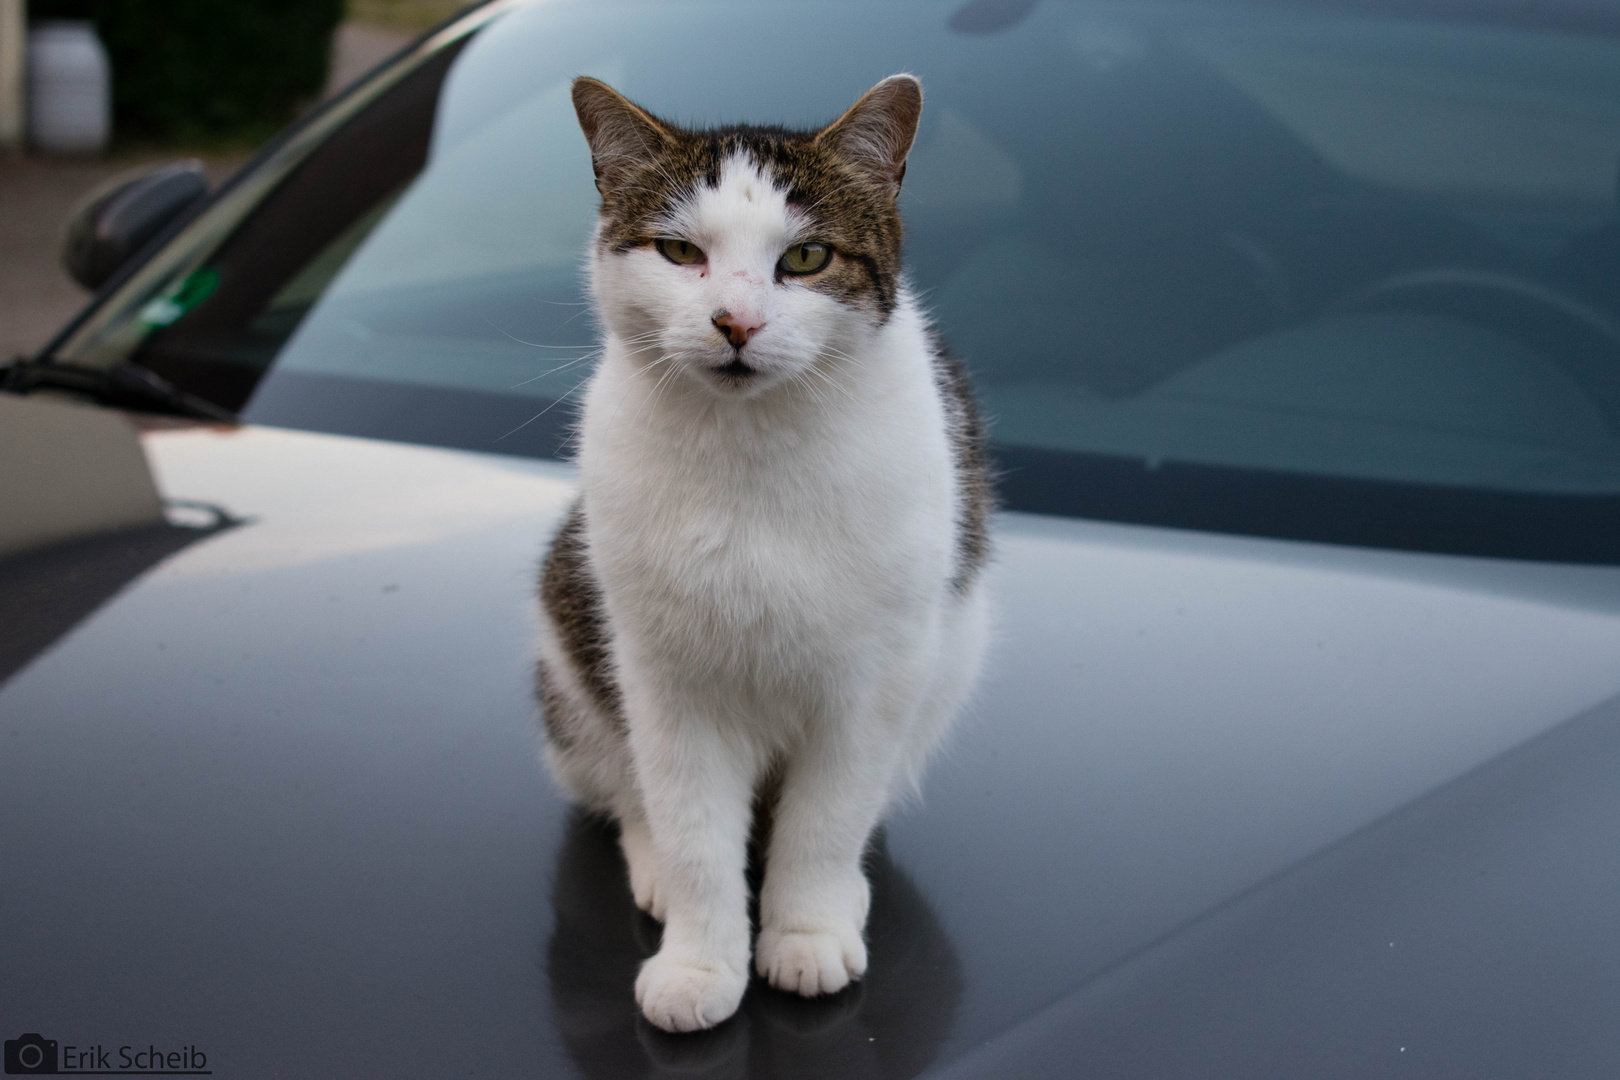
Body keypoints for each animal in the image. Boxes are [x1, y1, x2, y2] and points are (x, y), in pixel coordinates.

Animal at [534, 71, 984, 1036]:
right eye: (678, 251)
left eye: (806, 259)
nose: (735, 321)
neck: (751, 449)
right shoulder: (667, 685)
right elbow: (696, 832)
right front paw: (701, 963)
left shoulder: (875, 685)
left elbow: (825, 823)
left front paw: (806, 931)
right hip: (569, 646)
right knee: (624, 792)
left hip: (952, 659)